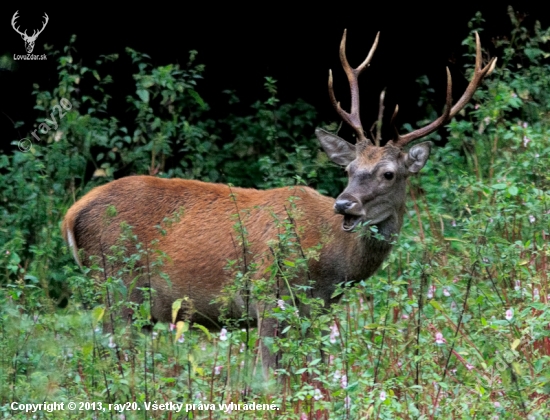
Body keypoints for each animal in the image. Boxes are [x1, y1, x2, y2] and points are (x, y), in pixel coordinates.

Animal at [62, 31, 498, 372]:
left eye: (388, 173)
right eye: (349, 168)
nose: (345, 205)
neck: (332, 265)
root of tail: (72, 215)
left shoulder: (317, 310)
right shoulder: (270, 296)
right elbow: (270, 374)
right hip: (116, 283)